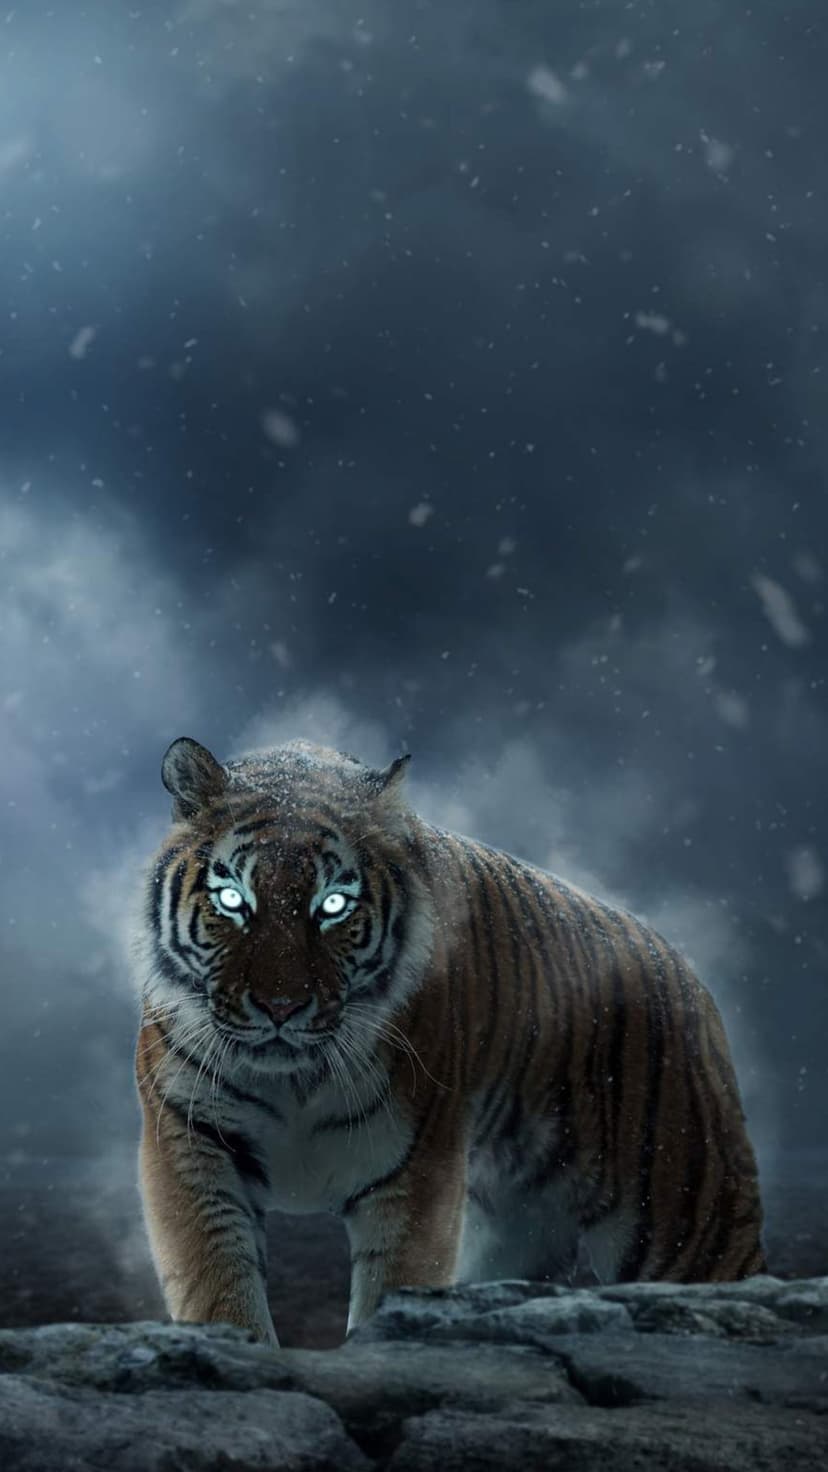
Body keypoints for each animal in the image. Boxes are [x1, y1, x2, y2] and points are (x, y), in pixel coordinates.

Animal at [133, 735, 766, 1346]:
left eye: (333, 905)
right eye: (232, 900)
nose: (281, 1007)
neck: (295, 1080)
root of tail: (680, 964)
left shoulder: (416, 1169)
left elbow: (395, 1287)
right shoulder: (190, 1143)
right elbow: (217, 1285)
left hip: (688, 1217)